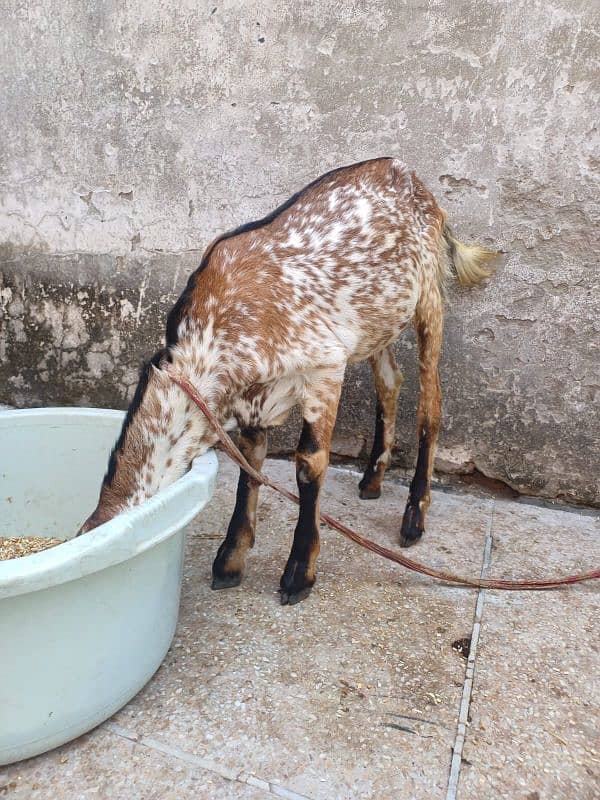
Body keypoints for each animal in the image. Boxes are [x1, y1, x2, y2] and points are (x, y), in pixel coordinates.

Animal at [79, 158, 496, 608]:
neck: (212, 339)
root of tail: (408, 174)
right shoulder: (250, 399)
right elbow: (250, 465)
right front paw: (230, 560)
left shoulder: (325, 367)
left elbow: (309, 464)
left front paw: (298, 574)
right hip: (376, 321)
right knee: (390, 381)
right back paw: (372, 479)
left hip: (429, 298)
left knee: (430, 403)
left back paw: (414, 517)